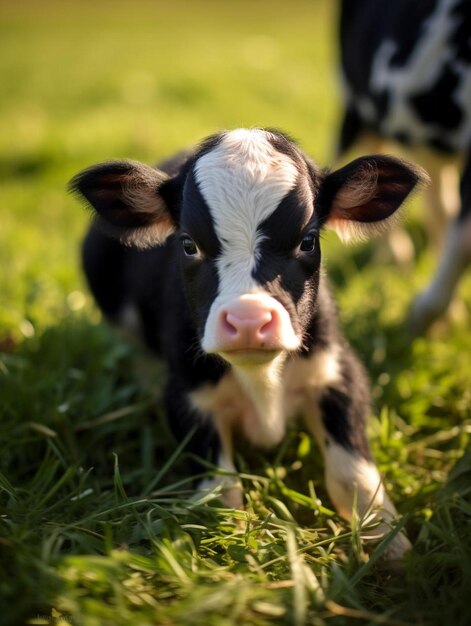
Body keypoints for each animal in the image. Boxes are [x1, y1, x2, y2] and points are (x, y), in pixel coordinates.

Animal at [72, 127, 426, 556]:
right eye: (188, 244)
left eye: (307, 240)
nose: (248, 320)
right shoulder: (185, 397)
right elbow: (220, 491)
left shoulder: (339, 371)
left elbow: (352, 477)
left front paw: (392, 549)